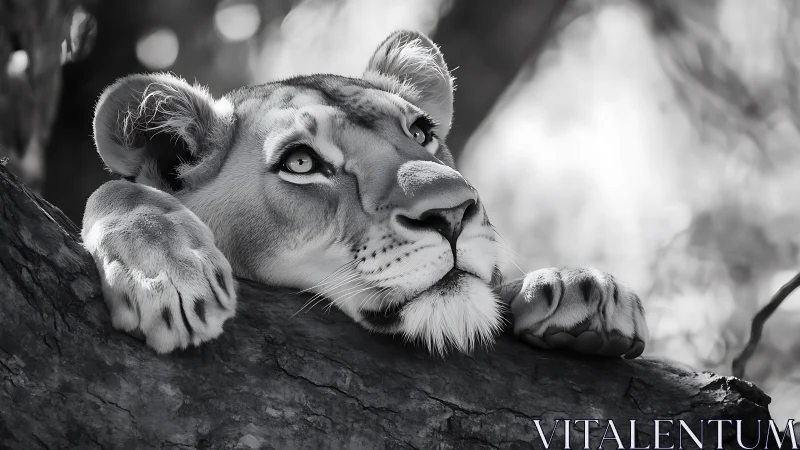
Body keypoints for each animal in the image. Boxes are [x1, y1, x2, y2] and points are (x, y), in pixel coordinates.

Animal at [81, 30, 648, 358]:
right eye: (302, 163)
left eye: (421, 133)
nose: (453, 212)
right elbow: (116, 191)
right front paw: (166, 274)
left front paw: (578, 286)